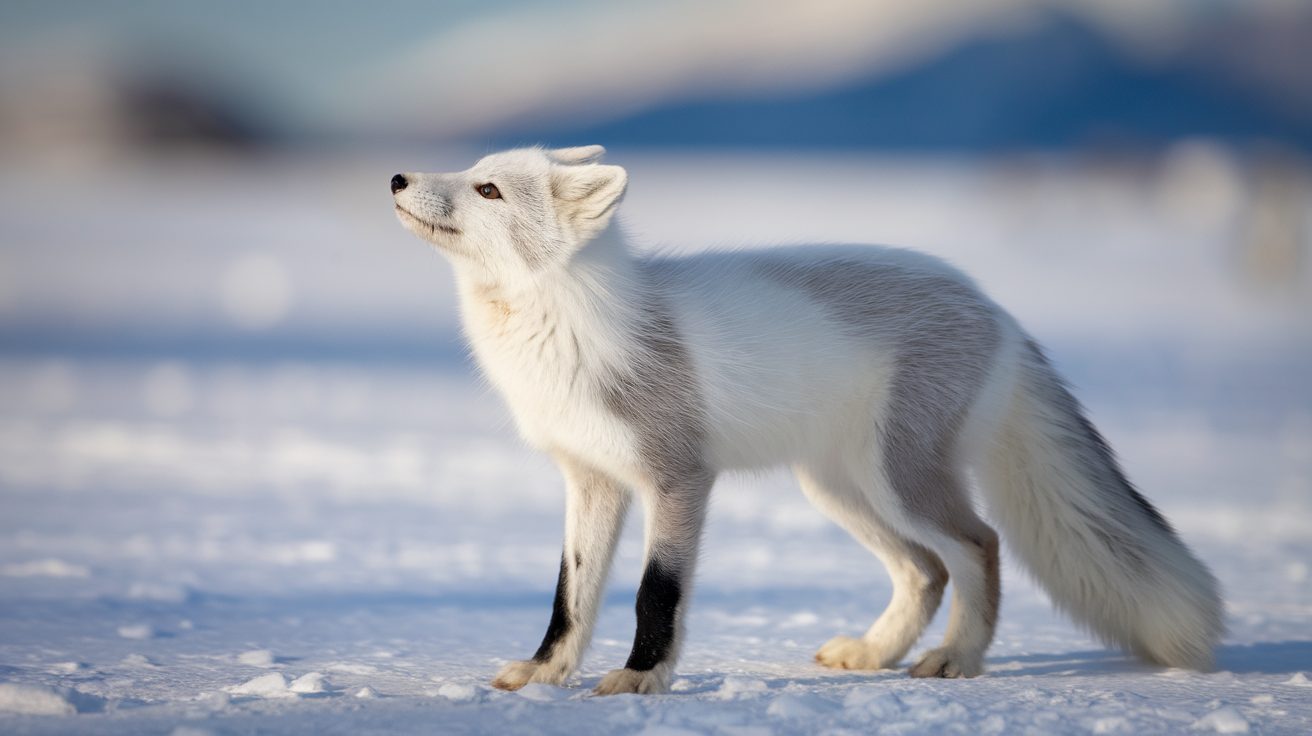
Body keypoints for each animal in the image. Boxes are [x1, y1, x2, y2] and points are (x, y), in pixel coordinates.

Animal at [385, 146, 1217, 692]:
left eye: (489, 189)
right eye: (470, 170)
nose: (396, 176)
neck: (575, 326)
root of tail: (998, 310)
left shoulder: (679, 478)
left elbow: (656, 593)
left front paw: (642, 679)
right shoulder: (591, 479)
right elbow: (570, 596)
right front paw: (546, 673)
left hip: (896, 483)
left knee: (978, 547)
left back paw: (957, 661)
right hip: (840, 490)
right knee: (927, 569)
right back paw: (875, 655)